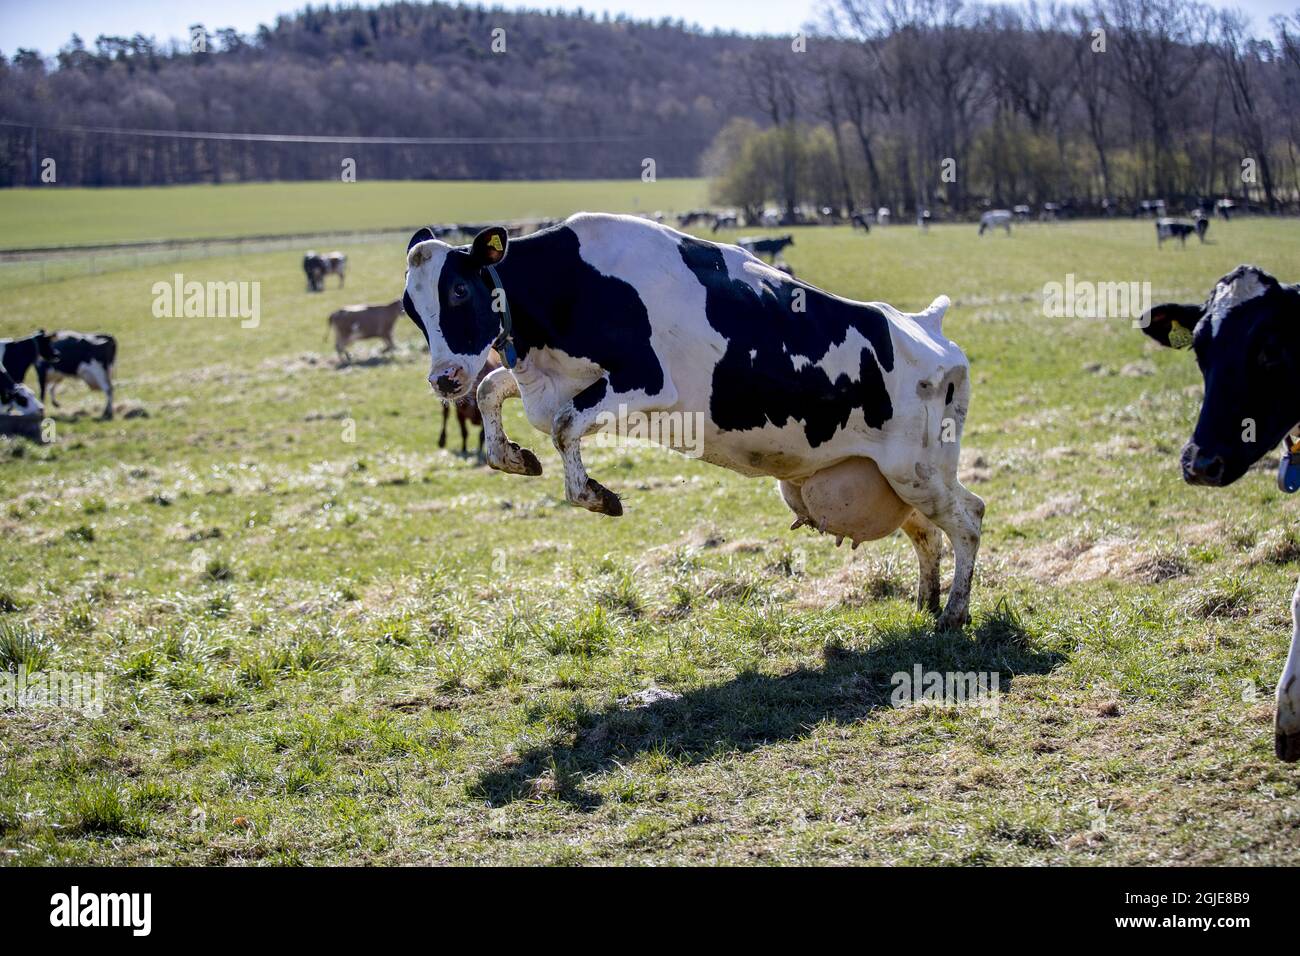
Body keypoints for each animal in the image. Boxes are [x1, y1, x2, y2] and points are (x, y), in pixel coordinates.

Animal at [405, 214, 982, 629]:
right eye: (412, 309)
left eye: (458, 291)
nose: (443, 379)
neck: (572, 287)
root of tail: (925, 325)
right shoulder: (546, 382)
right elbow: (491, 390)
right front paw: (514, 457)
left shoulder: (646, 382)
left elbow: (566, 426)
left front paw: (597, 495)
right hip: (892, 477)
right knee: (928, 532)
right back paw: (927, 602)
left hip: (918, 469)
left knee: (969, 519)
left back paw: (953, 614)